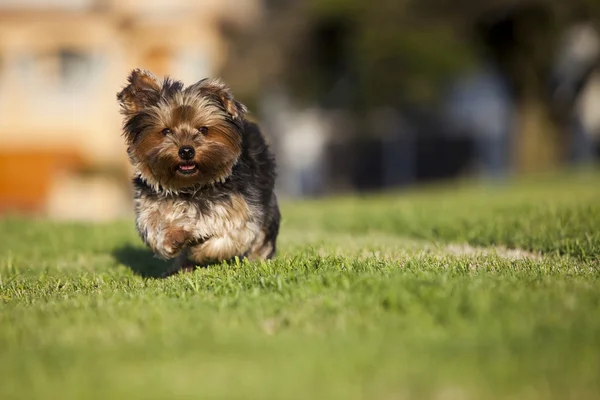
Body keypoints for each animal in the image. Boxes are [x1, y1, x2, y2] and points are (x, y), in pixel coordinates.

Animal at [117, 69, 282, 276]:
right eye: (166, 131)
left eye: (204, 129)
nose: (186, 151)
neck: (191, 187)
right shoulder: (150, 207)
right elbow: (155, 229)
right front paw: (175, 237)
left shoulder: (240, 212)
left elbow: (228, 239)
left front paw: (199, 250)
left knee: (263, 238)